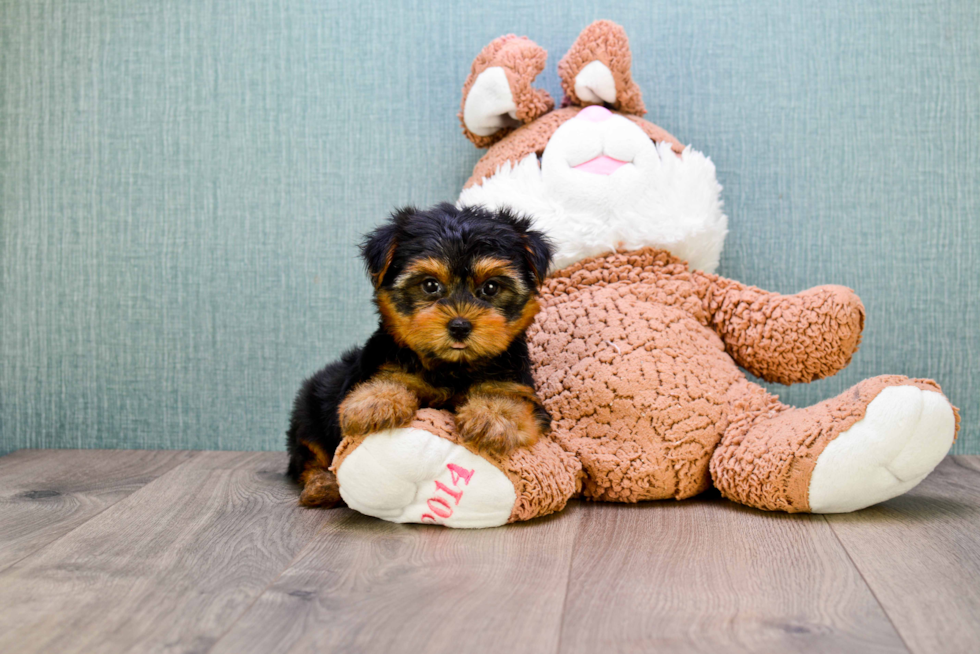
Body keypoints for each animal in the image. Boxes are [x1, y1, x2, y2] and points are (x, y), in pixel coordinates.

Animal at [288, 202, 556, 510]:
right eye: (430, 285)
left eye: (490, 288)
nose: (459, 326)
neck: (452, 367)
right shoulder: (384, 366)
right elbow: (388, 381)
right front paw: (376, 401)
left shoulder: (518, 387)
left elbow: (512, 401)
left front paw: (491, 416)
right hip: (309, 414)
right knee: (308, 456)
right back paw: (321, 486)